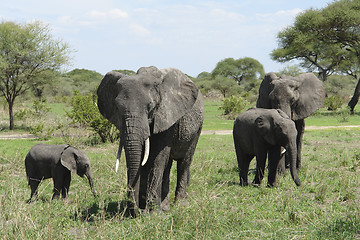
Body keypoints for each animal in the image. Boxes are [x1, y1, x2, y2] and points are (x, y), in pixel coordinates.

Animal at [97, 66, 204, 216]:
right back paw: (165, 207)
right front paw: (146, 209)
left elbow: (157, 158)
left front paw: (153, 213)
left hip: (197, 127)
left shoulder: (166, 115)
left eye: (150, 106)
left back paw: (180, 205)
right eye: (117, 107)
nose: (136, 211)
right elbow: (143, 159)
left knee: (184, 161)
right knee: (168, 165)